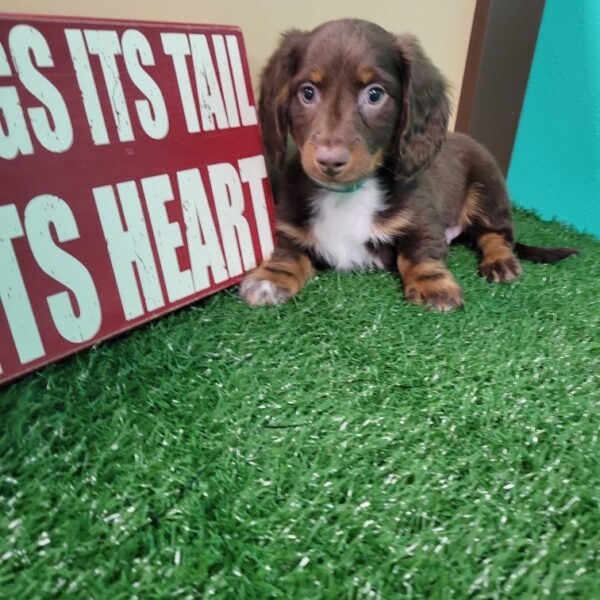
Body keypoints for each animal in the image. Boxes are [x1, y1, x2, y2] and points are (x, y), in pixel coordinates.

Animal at [239, 18, 576, 310]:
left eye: (375, 94)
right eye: (307, 92)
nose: (329, 160)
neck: (348, 195)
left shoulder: (423, 219)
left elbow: (419, 253)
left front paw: (433, 285)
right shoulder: (290, 223)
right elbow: (289, 251)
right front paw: (271, 278)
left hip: (488, 190)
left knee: (496, 235)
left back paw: (500, 261)